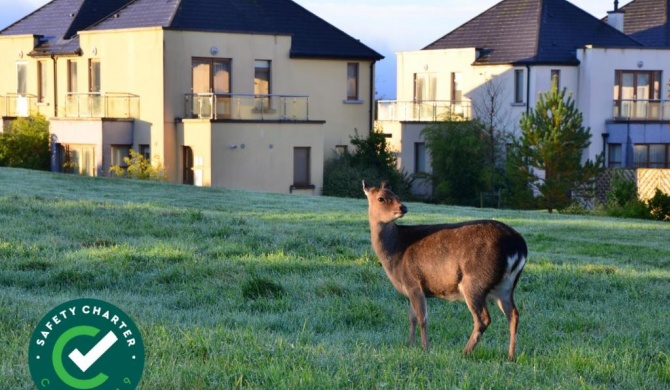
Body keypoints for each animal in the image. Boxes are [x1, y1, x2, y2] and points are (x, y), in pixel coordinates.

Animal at [364, 181, 528, 362]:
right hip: (506, 285)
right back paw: (510, 356)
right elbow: (412, 317)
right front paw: (410, 345)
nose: (403, 207)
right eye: (381, 198)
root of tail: (518, 246)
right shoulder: (410, 289)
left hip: (474, 281)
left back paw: (465, 352)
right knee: (513, 314)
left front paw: (425, 348)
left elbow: (422, 318)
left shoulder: (413, 282)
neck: (396, 253)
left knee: (483, 318)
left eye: (396, 195)